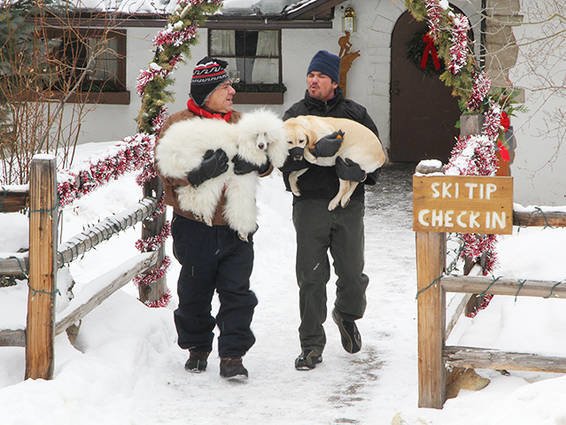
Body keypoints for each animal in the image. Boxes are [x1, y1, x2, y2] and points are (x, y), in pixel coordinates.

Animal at [155, 107, 288, 240]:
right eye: (256, 135)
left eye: (266, 134)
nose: (261, 145)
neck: (242, 141)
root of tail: (164, 149)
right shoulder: (242, 181)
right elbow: (242, 206)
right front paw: (243, 232)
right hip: (198, 165)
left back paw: (201, 215)